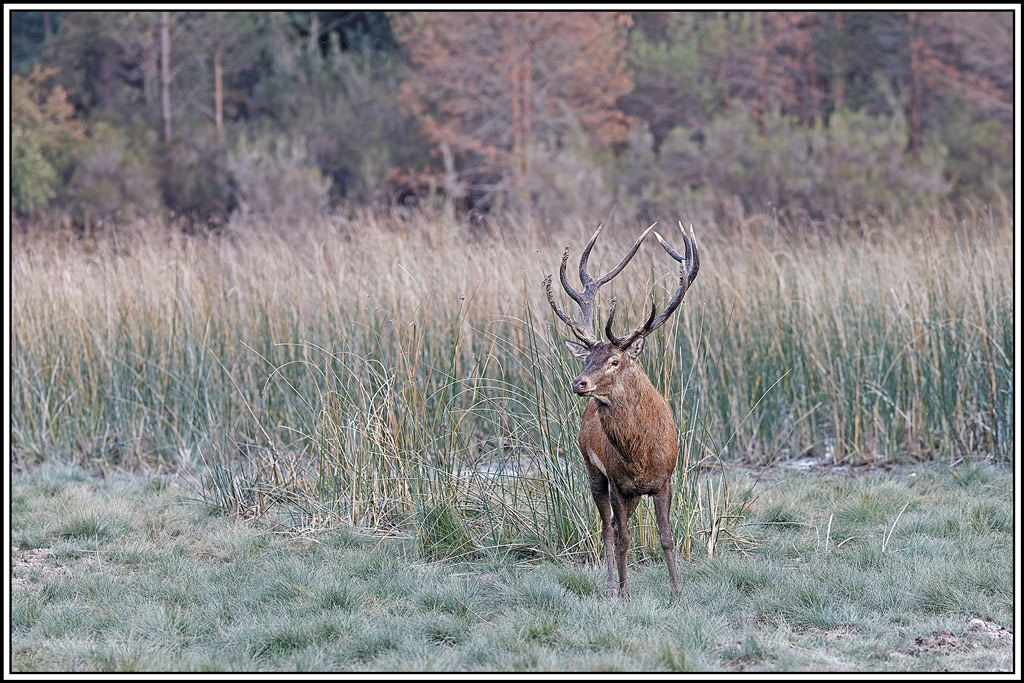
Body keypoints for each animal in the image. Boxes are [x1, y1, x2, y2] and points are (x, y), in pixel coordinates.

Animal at [543, 221, 699, 597]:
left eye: (614, 360)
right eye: (588, 358)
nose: (579, 383)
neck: (640, 455)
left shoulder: (664, 479)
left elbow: (667, 536)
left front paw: (676, 588)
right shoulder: (616, 480)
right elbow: (623, 537)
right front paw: (626, 590)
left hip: (632, 493)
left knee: (613, 524)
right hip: (593, 471)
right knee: (606, 527)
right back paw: (611, 582)